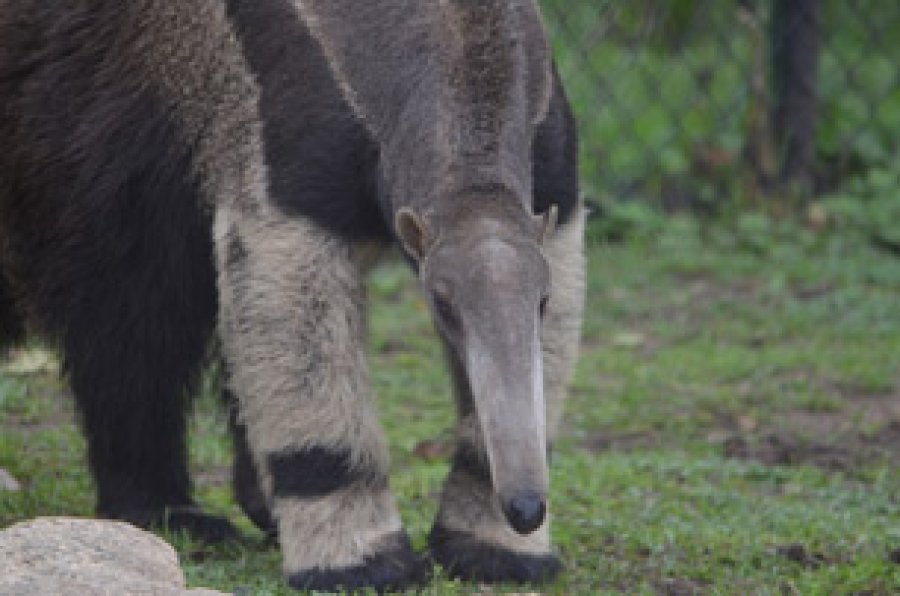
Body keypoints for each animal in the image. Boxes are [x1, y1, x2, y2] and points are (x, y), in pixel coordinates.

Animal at [0, 0, 585, 591]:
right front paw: (360, 560)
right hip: (85, 104)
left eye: (539, 302)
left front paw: (494, 549)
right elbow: (289, 285)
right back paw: (167, 511)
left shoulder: (548, 152)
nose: (525, 507)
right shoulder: (285, 113)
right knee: (131, 306)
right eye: (442, 306)